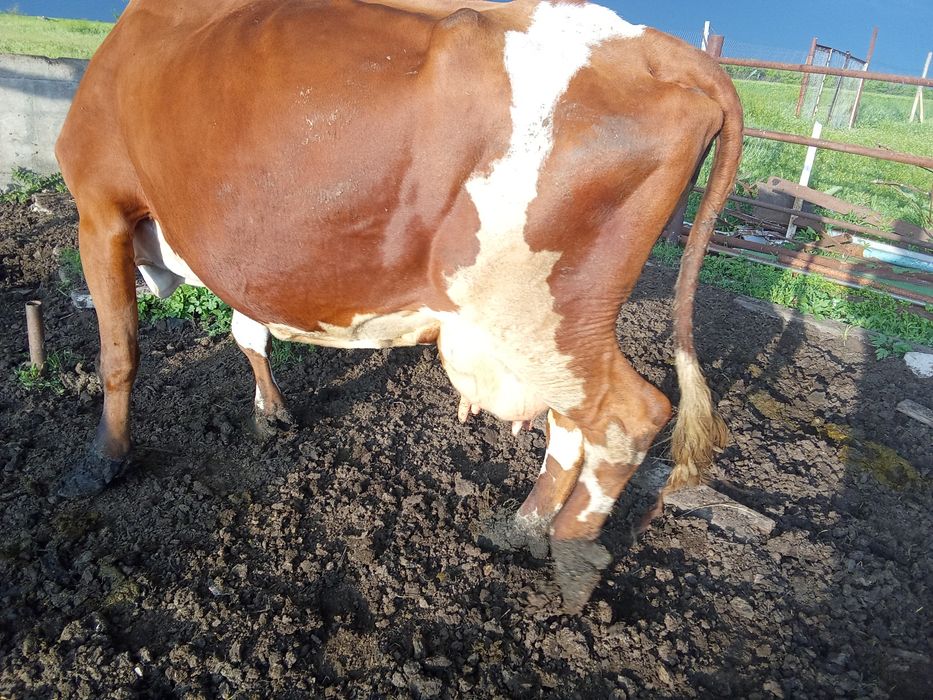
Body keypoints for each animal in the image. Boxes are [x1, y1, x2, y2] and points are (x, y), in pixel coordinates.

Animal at [55, 0, 742, 611]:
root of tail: (651, 45)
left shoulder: (99, 208)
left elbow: (118, 353)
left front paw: (103, 460)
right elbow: (247, 333)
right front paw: (270, 412)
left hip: (536, 312)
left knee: (629, 415)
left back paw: (571, 561)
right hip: (557, 323)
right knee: (572, 425)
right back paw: (520, 527)